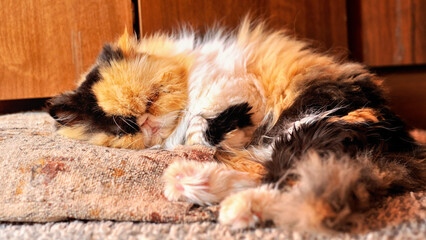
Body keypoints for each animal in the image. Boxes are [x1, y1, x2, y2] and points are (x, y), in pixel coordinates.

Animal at [46, 19, 426, 233]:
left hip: (306, 127)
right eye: (123, 126)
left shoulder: (237, 84)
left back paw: (227, 205)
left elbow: (204, 119)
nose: (146, 122)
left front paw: (213, 132)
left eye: (153, 99)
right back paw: (186, 182)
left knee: (285, 185)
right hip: (293, 139)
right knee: (267, 176)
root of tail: (398, 150)